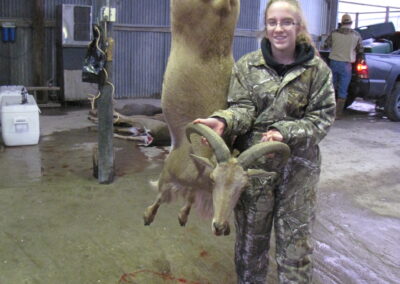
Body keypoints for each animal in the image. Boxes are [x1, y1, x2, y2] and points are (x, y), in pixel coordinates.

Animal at [142, 0, 290, 235]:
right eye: (214, 179)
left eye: (243, 185)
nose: (221, 226)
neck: (197, 167)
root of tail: (222, 7)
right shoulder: (168, 171)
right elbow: (160, 194)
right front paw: (148, 216)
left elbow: (189, 198)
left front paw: (183, 216)